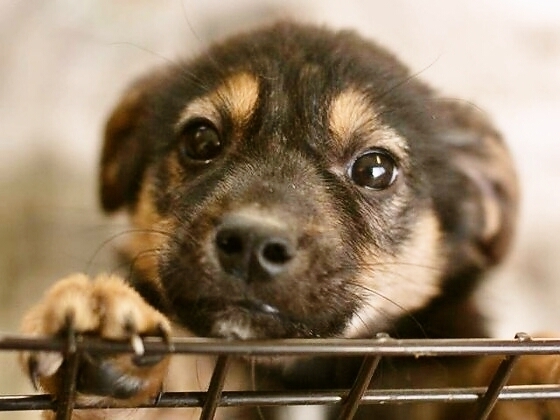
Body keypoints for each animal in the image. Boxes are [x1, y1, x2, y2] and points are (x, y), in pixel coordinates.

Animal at [18, 21, 556, 418]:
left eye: (375, 169)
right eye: (201, 140)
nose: (253, 244)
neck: (299, 379)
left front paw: (542, 374)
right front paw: (102, 318)